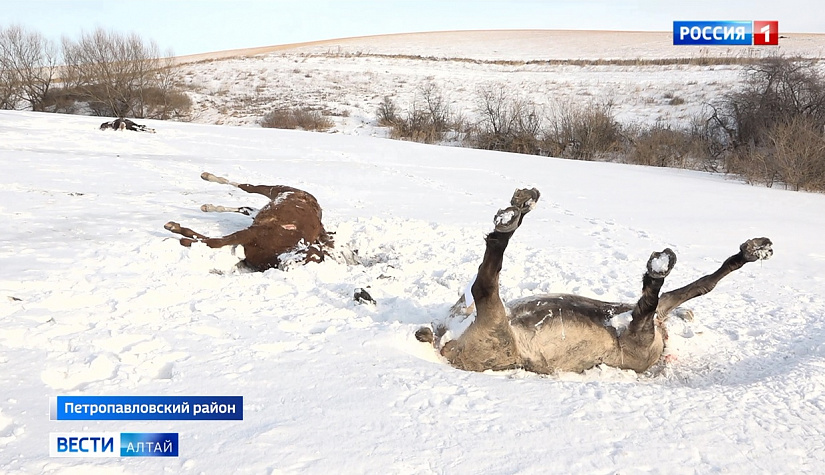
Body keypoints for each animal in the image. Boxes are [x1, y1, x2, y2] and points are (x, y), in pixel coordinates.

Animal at [164, 172, 336, 271]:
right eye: (310, 255)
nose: (288, 266)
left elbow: (210, 241)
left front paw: (177, 232)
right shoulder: (252, 232)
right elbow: (216, 242)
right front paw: (174, 233)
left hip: (261, 211)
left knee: (245, 208)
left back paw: (208, 207)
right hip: (276, 189)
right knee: (248, 187)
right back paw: (207, 177)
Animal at [415, 188, 773, 374]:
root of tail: (442, 342)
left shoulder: (646, 327)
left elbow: (685, 289)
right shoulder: (656, 315)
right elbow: (701, 284)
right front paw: (754, 249)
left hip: (493, 325)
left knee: (485, 280)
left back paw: (514, 213)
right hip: (486, 321)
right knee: (484, 278)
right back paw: (517, 209)